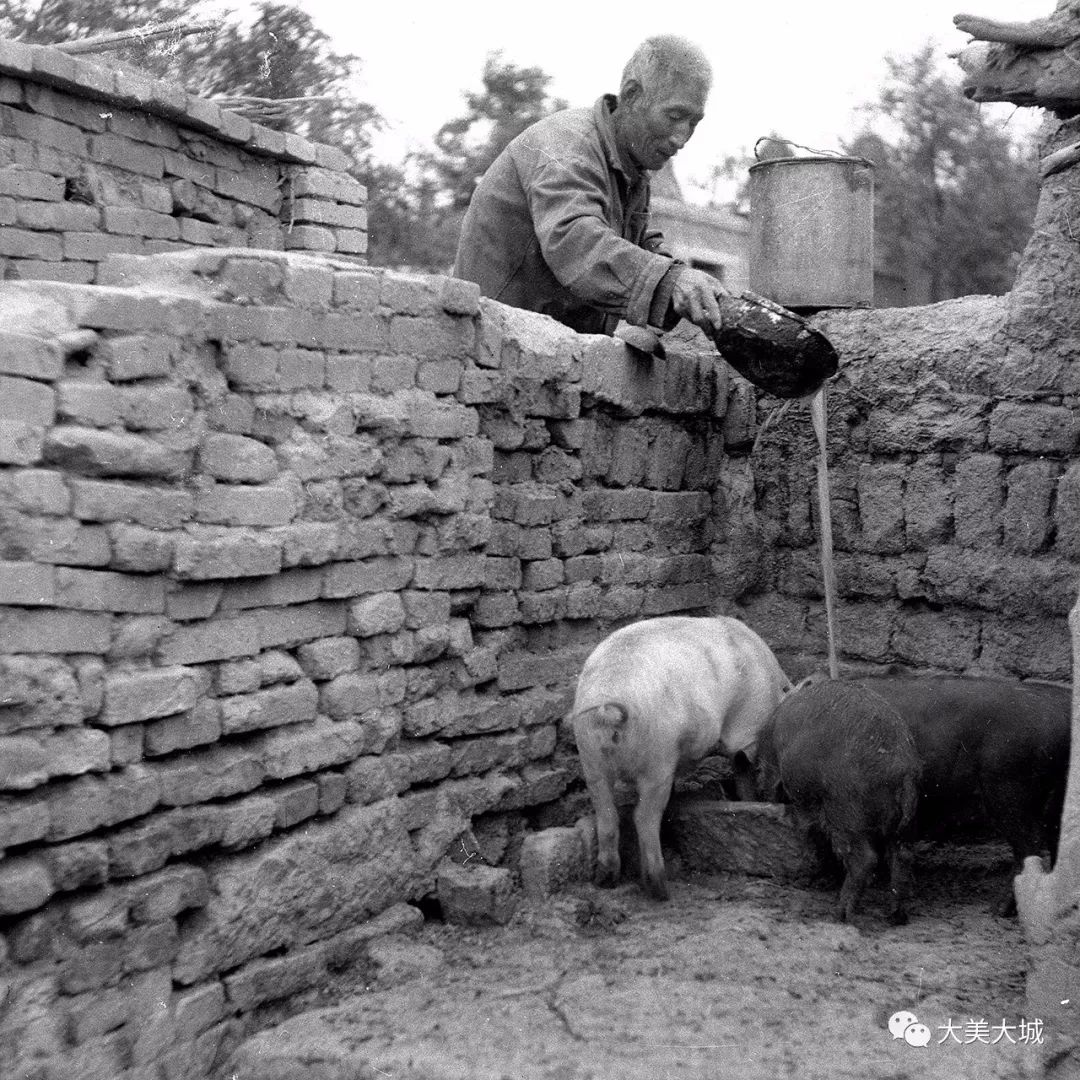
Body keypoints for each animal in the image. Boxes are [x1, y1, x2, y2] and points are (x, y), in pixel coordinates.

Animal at [570, 617, 790, 902]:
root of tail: (610, 707)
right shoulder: (747, 727)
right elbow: (743, 767)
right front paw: (748, 800)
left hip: (590, 754)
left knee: (607, 815)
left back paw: (605, 881)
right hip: (656, 756)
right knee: (643, 817)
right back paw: (661, 891)